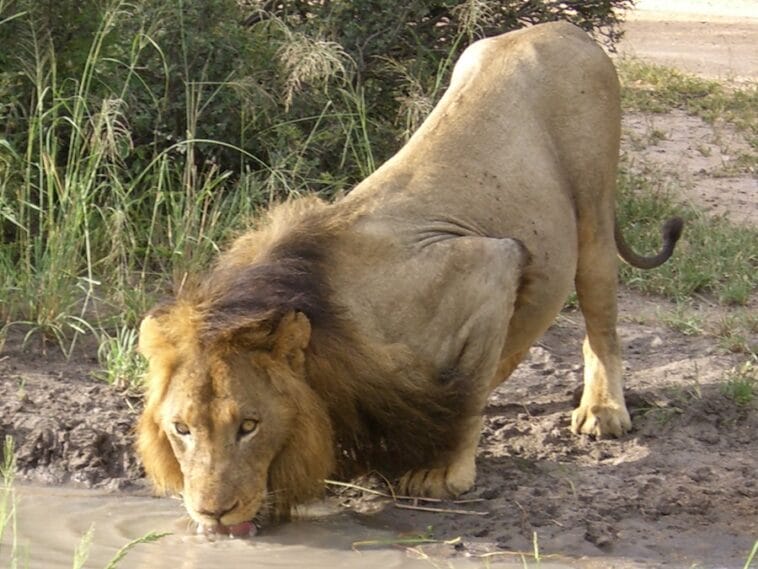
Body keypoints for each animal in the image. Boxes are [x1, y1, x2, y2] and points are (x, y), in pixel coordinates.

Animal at [136, 21, 682, 534]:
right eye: (182, 429)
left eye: (249, 425)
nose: (212, 513)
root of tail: (563, 28)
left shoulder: (491, 265)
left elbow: (466, 395)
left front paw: (444, 473)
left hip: (593, 213)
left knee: (600, 323)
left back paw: (603, 411)